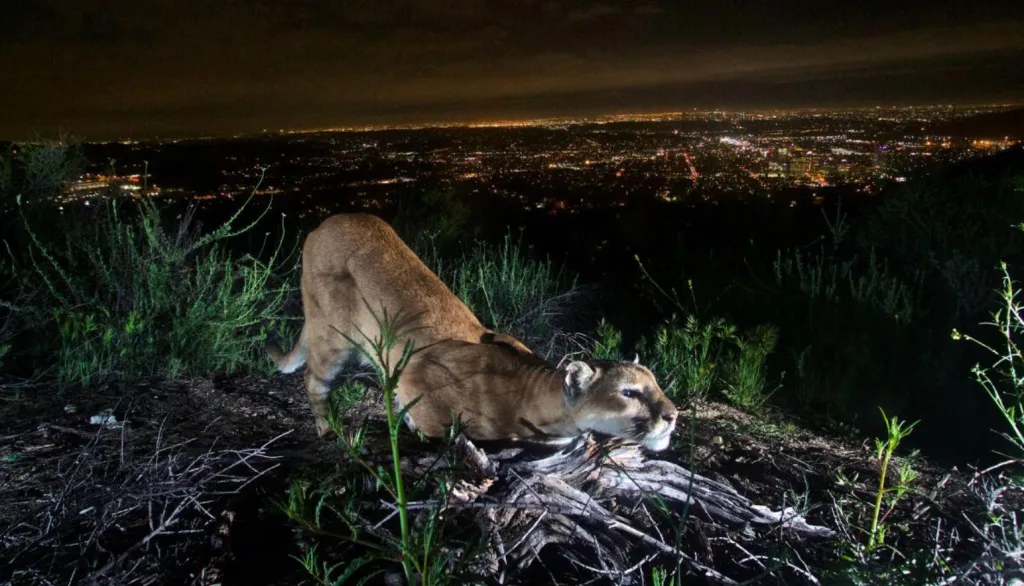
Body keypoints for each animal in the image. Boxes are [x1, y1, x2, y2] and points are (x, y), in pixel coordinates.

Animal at [267, 213, 679, 451]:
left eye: (657, 385)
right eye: (628, 393)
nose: (673, 415)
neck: (531, 394)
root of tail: (324, 224)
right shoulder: (418, 375)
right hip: (333, 337)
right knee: (313, 380)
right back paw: (329, 431)